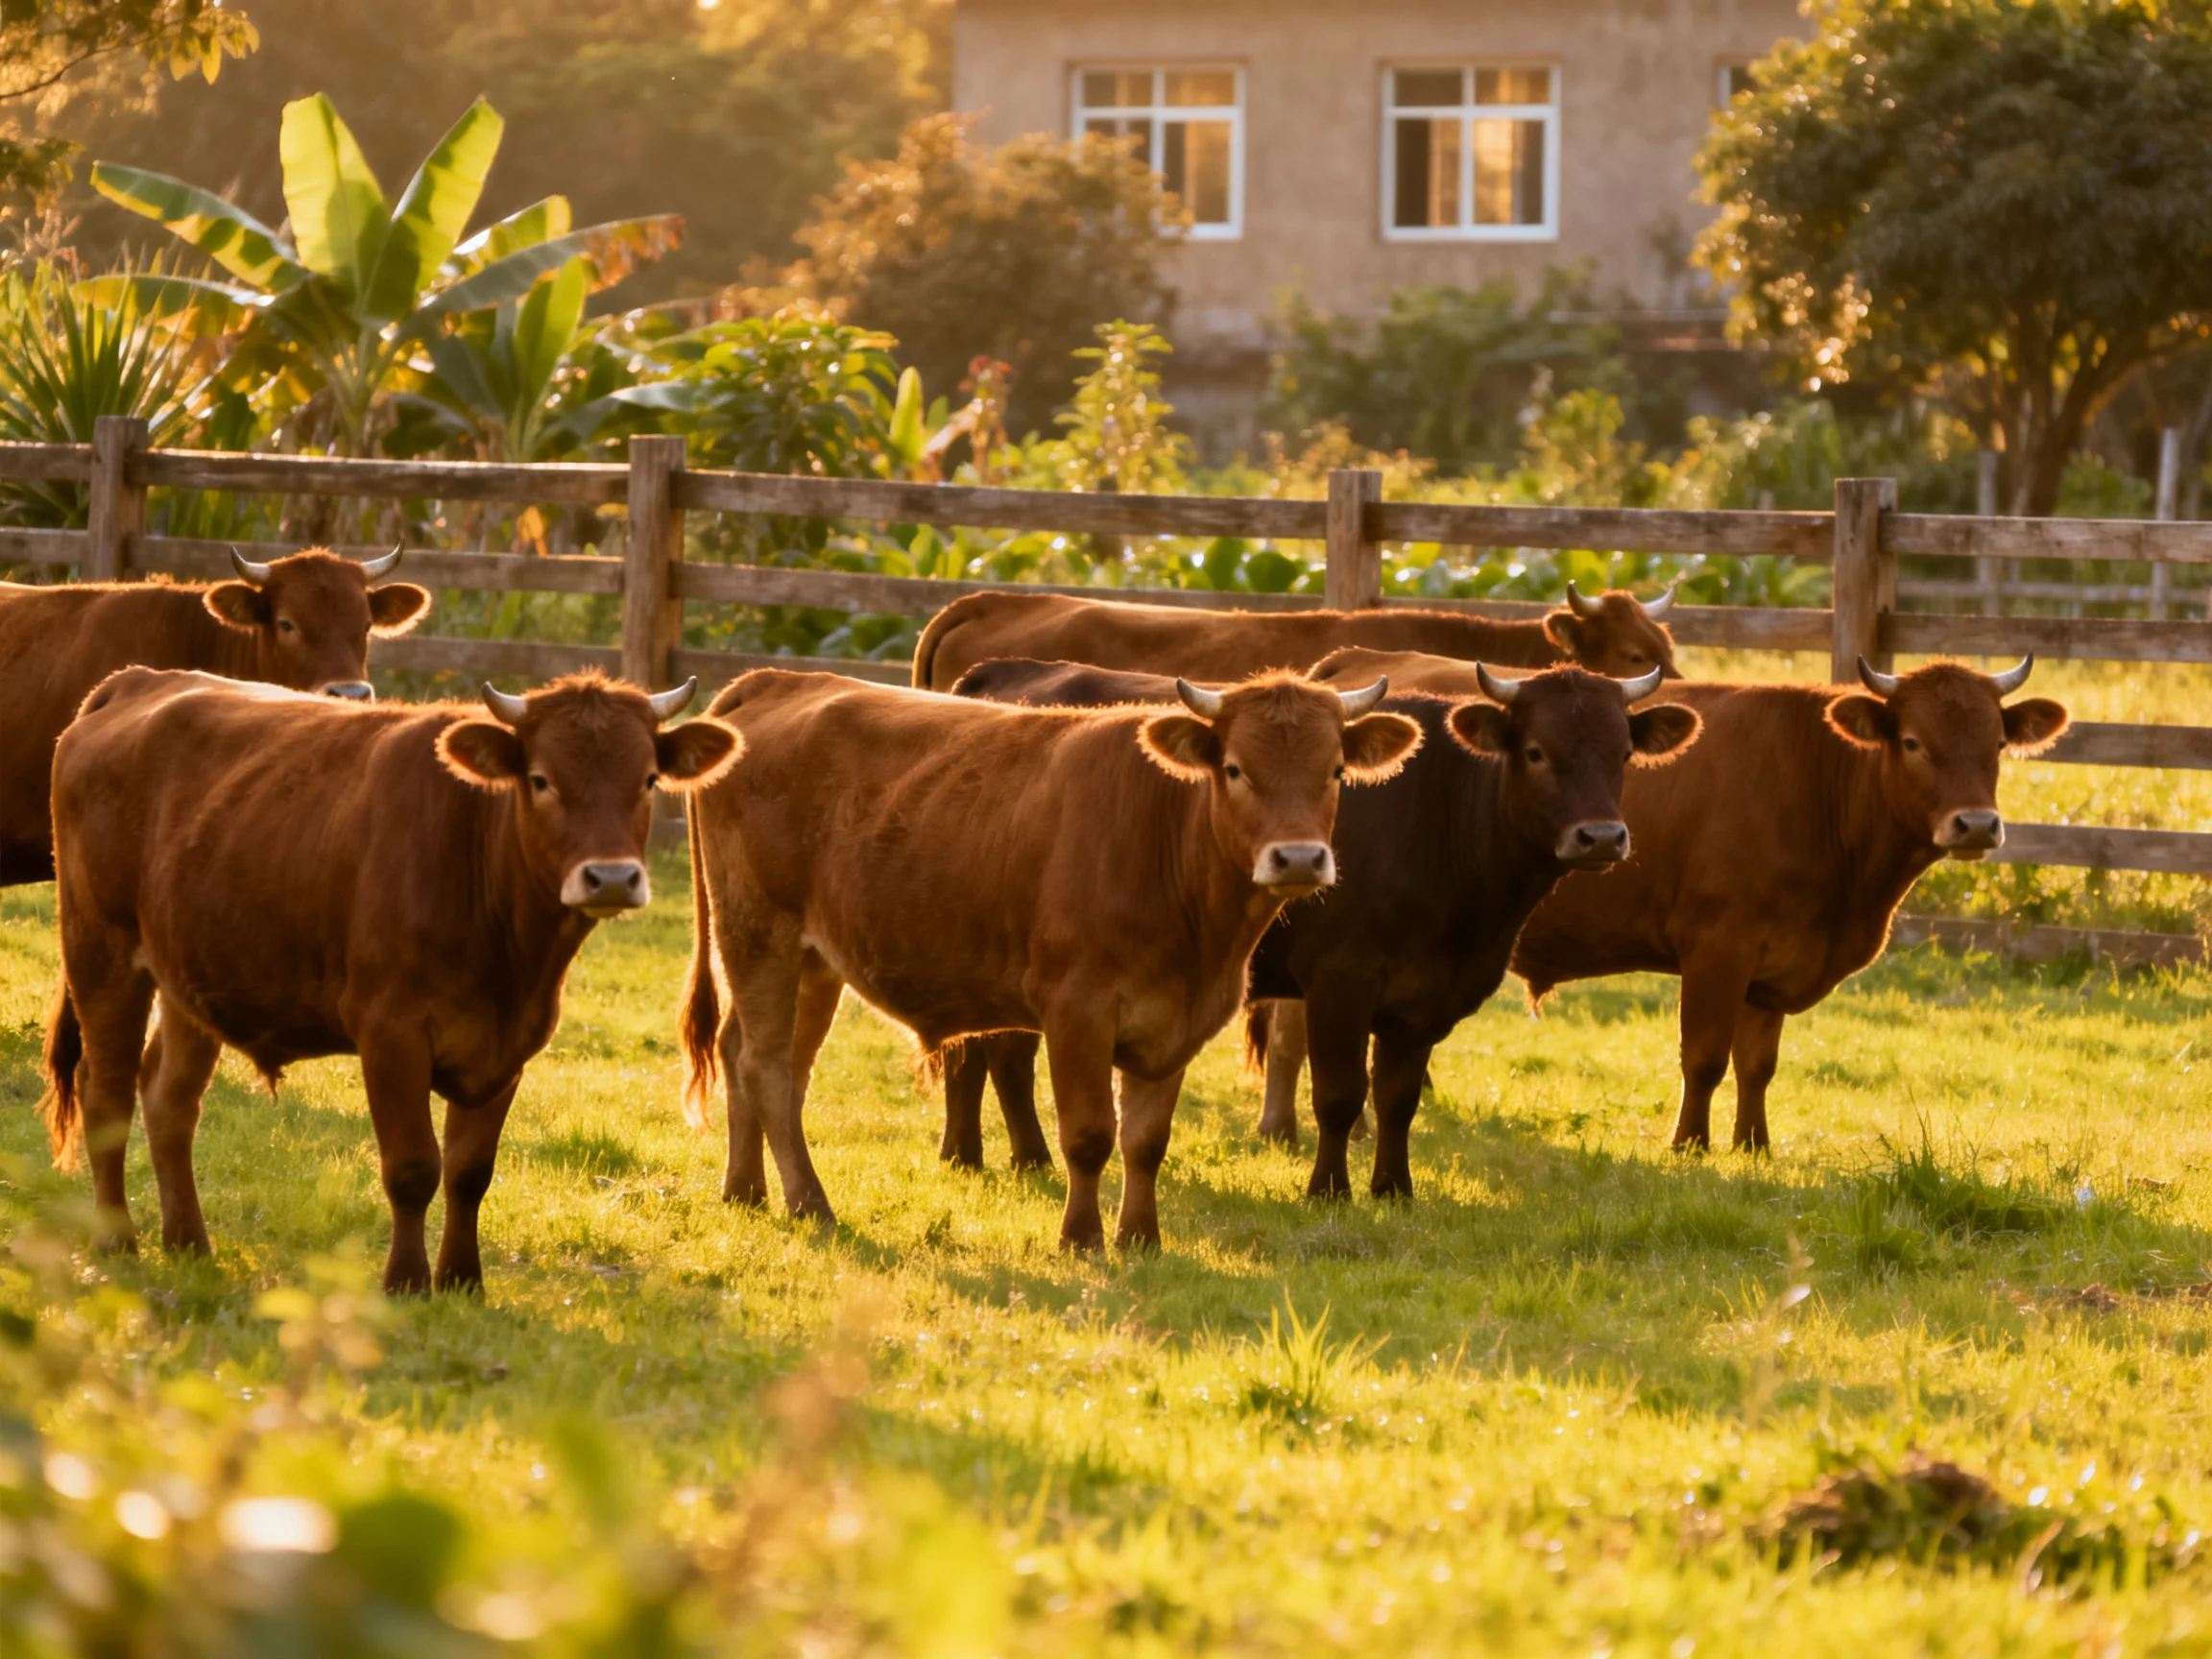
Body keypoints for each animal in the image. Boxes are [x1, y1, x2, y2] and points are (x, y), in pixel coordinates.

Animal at [36, 668, 739, 1293]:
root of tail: (138, 680)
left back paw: (189, 1244)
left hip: (191, 977)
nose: (612, 878)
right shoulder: (390, 1032)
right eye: (541, 779)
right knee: (107, 1096)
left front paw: (462, 1281)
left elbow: (469, 1172)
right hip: (101, 952)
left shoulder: (508, 1047)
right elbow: (412, 1168)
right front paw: (405, 1281)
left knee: (169, 1101)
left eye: (648, 779)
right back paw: (117, 1240)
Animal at [678, 668, 1423, 1250]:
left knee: (756, 1057)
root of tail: (776, 681)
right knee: (766, 1066)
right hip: (759, 934)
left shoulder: (1176, 1021)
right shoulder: (1077, 1011)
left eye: (1335, 771)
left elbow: (1146, 1140)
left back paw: (745, 1191)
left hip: (811, 959)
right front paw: (1082, 1239)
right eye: (1235, 768)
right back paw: (811, 1203)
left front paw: (1141, 1238)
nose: (1298, 858)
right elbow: (1089, 1135)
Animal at [943, 656, 1703, 1198]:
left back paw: (1007, 1156)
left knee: (993, 1051)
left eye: (1624, 754)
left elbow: (1397, 1098)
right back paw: (987, 1155)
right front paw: (1329, 1190)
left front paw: (1393, 1188)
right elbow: (1339, 1095)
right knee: (983, 1053)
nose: (1600, 837)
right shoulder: (1342, 982)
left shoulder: (1421, 1000)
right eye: (1538, 752)